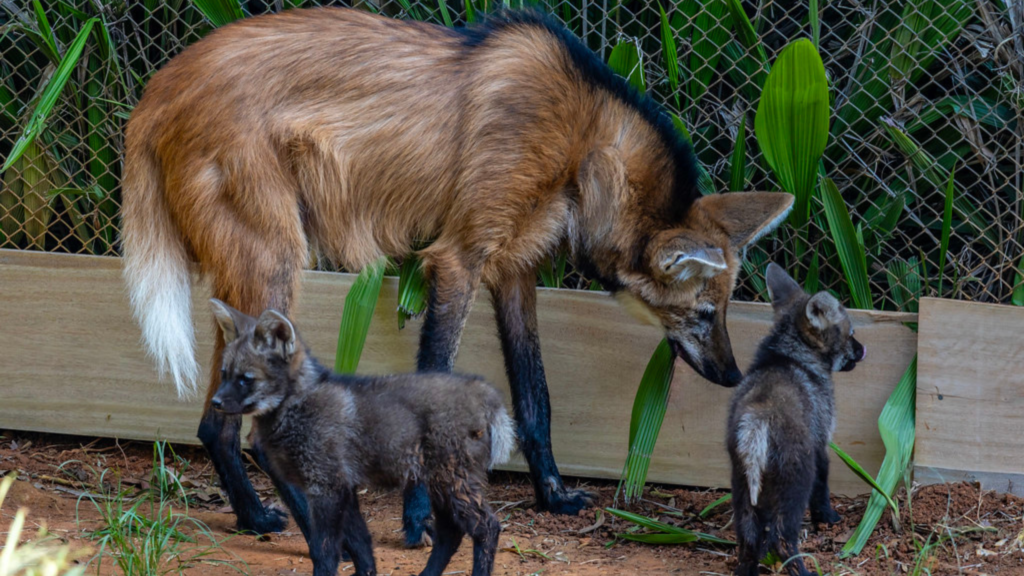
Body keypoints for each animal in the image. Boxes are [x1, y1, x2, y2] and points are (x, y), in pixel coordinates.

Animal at [121, 6, 794, 542]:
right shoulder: (458, 258)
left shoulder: (515, 269)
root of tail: (157, 88)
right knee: (240, 424)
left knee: (213, 422)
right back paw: (285, 520)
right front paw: (420, 519)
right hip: (275, 262)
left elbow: (535, 395)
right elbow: (436, 380)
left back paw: (255, 515)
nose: (733, 374)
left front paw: (553, 495)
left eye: (724, 311)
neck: (583, 147)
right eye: (703, 313)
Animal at [208, 298, 515, 576]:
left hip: (450, 482)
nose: (214, 402)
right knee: (451, 533)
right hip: (438, 485)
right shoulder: (344, 488)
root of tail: (485, 392)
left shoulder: (326, 487)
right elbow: (361, 546)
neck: (295, 405)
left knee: (487, 527)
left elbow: (324, 550)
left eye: (245, 379)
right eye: (224, 374)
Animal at [726, 263, 866, 576]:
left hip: (741, 485)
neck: (789, 357)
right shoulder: (821, 442)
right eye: (851, 332)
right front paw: (828, 518)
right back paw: (804, 571)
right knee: (781, 538)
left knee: (748, 538)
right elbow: (823, 487)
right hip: (796, 481)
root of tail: (756, 420)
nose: (863, 350)